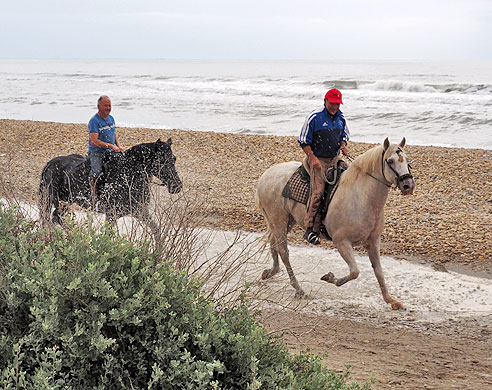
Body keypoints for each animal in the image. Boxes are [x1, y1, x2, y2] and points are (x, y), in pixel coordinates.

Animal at [39, 137, 183, 230]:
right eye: (161, 161)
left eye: (174, 159)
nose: (177, 186)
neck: (128, 175)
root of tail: (49, 164)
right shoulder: (111, 215)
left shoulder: (140, 211)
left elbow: (156, 230)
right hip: (51, 200)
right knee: (51, 218)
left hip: (65, 202)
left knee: (55, 218)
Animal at [258, 139, 416, 310]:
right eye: (390, 161)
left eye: (406, 160)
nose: (408, 185)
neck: (361, 197)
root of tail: (265, 175)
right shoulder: (342, 242)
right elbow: (355, 272)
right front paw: (330, 277)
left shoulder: (373, 241)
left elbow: (379, 272)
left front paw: (392, 301)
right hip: (279, 220)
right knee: (283, 251)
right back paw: (299, 289)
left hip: (285, 222)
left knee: (274, 243)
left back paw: (271, 272)